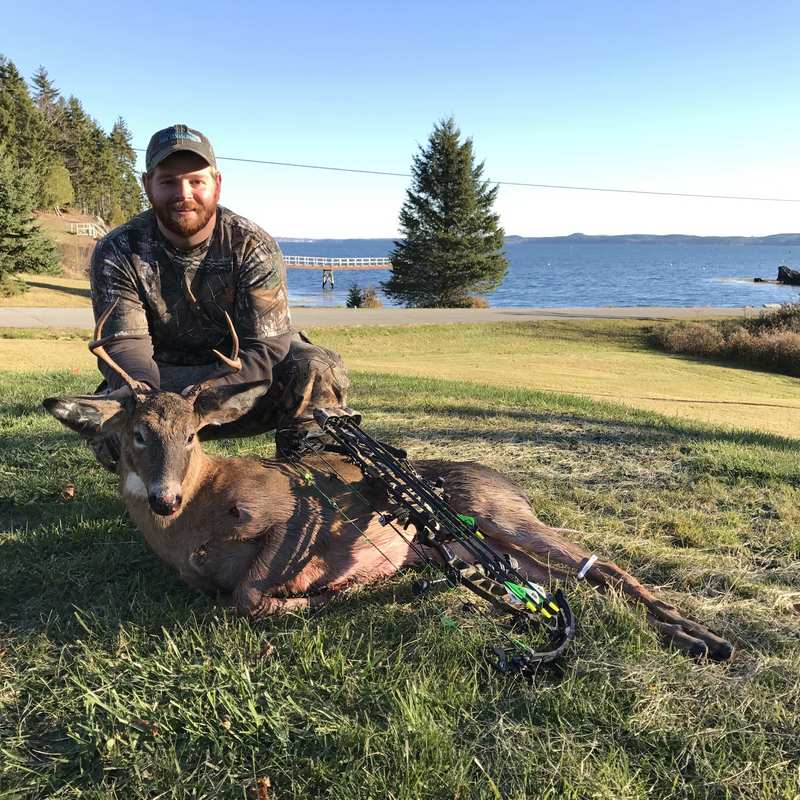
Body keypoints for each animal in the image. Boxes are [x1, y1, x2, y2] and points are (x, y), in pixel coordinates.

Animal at [43, 304, 734, 662]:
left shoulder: (287, 512)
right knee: (567, 585)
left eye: (192, 436)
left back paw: (707, 636)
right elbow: (236, 593)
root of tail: (508, 482)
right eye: (137, 434)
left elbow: (251, 593)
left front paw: (320, 596)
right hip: (488, 550)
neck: (193, 525)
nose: (164, 495)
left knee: (605, 568)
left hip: (501, 516)